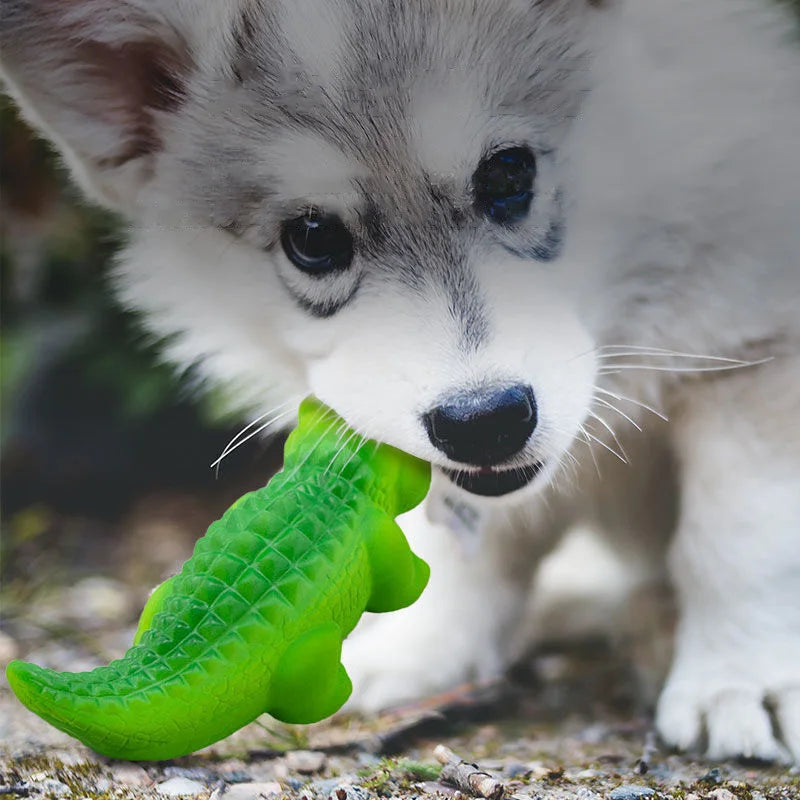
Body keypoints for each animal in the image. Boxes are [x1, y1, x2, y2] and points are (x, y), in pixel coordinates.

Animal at [1, 0, 800, 764]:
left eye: (508, 175)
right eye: (312, 238)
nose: (484, 423)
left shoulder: (756, 358)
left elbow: (737, 542)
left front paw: (743, 679)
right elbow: (460, 549)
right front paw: (426, 652)